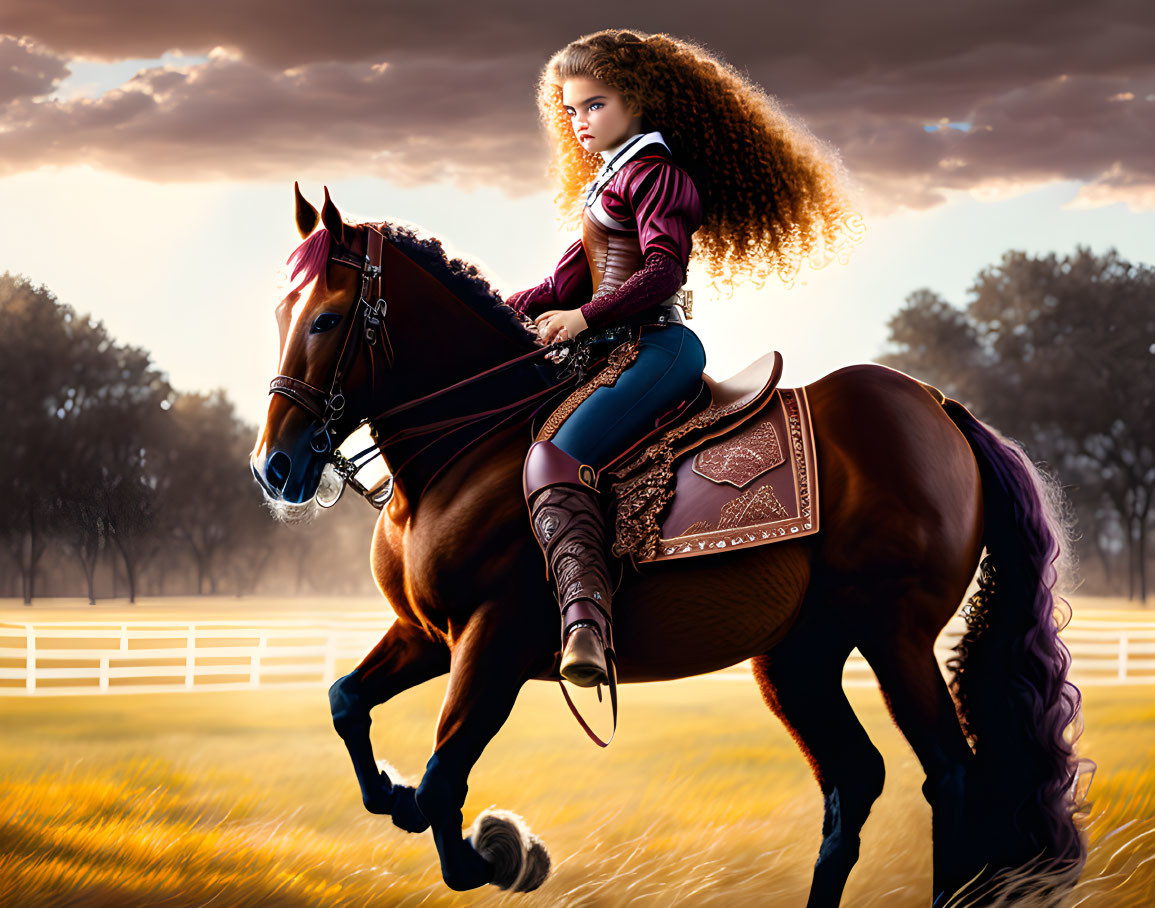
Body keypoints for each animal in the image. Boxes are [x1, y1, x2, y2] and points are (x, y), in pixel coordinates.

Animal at [248, 185, 1085, 905]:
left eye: (324, 320)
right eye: (281, 310)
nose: (273, 467)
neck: (466, 447)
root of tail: (940, 408)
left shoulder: (493, 642)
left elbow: (441, 783)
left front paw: (501, 852)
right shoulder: (428, 633)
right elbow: (346, 704)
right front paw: (394, 794)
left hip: (894, 634)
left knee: (951, 775)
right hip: (800, 654)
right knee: (854, 780)